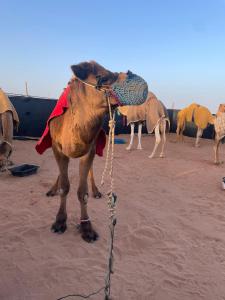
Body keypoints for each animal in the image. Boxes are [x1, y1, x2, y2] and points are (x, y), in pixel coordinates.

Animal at [35, 61, 148, 244]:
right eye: (102, 76)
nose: (131, 75)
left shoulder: (90, 150)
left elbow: (83, 192)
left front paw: (87, 229)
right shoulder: (57, 148)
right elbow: (64, 186)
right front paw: (59, 222)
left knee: (91, 172)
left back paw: (96, 191)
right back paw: (52, 190)